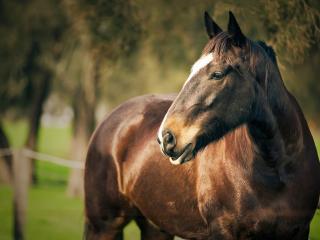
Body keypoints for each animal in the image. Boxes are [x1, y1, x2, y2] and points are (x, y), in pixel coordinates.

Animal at [83, 11, 320, 240]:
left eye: (217, 74)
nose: (166, 137)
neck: (278, 170)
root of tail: (109, 120)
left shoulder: (299, 231)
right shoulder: (223, 231)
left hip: (156, 228)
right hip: (103, 226)